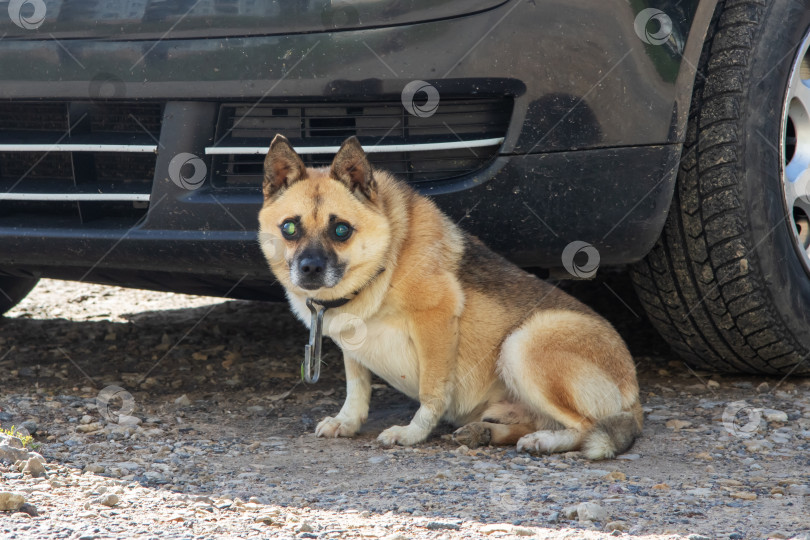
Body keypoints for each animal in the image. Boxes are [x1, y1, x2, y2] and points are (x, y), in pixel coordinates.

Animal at [256, 133, 640, 458]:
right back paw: (485, 433)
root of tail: (633, 397)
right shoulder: (352, 341)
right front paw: (347, 422)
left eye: (341, 230)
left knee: (588, 427)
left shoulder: (435, 321)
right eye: (289, 228)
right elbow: (356, 387)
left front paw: (412, 434)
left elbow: (431, 392)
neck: (386, 262)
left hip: (521, 345)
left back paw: (545, 441)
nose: (309, 268)